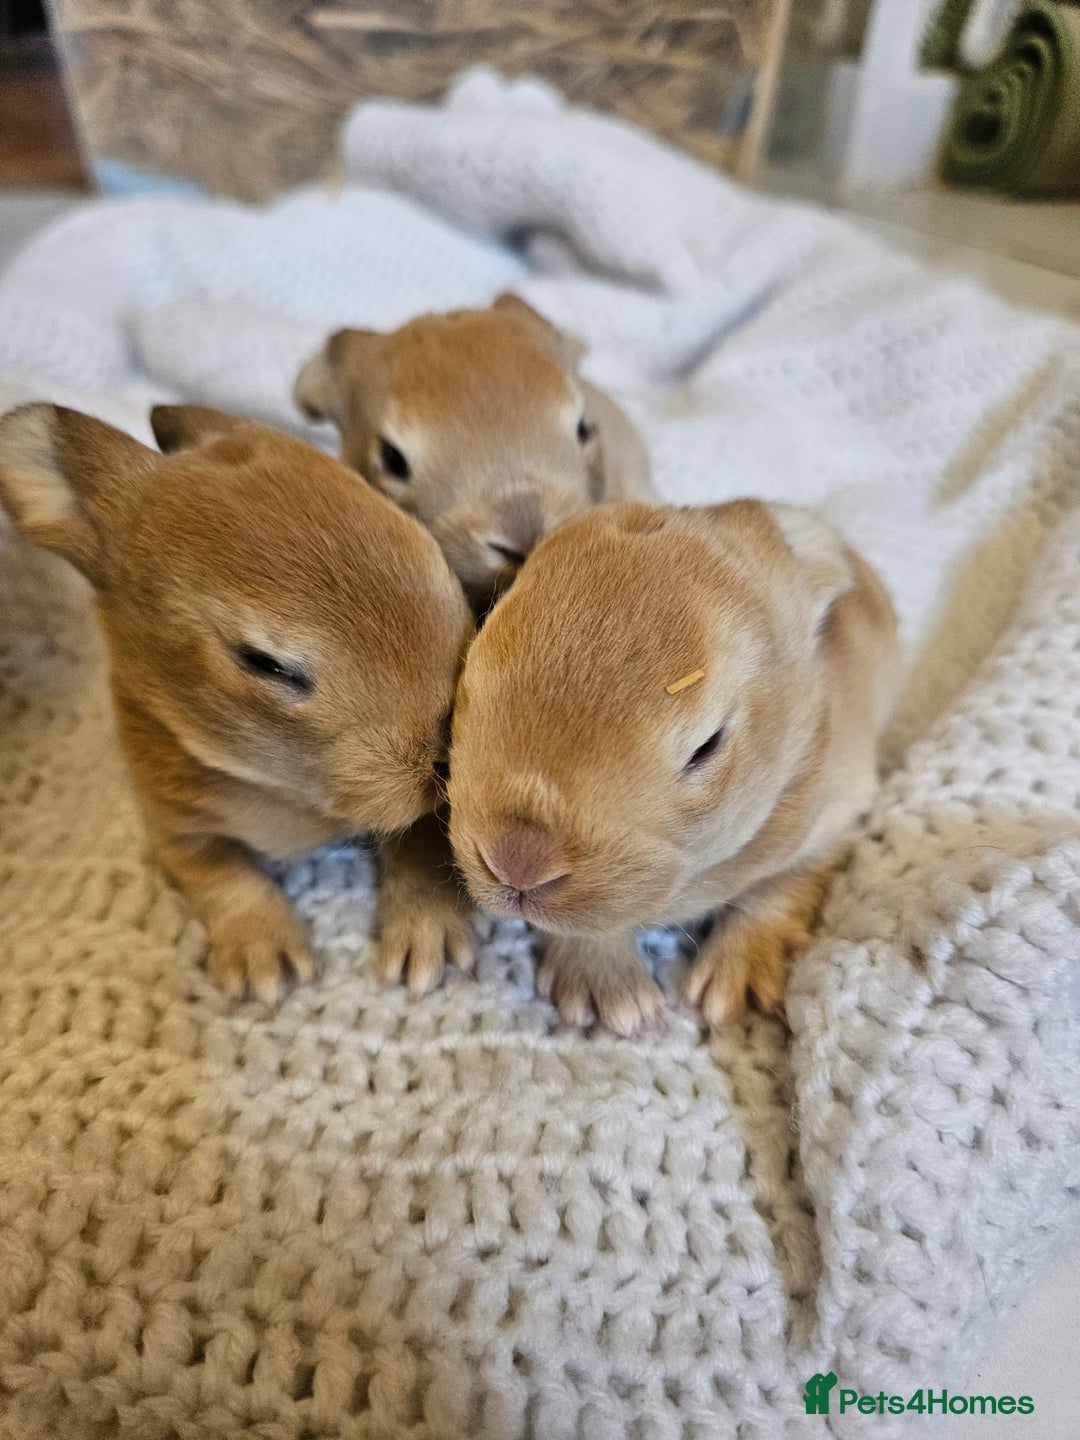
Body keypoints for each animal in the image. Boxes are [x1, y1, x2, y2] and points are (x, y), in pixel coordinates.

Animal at [0, 402, 479, 1002]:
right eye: (267, 665)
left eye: (429, 549)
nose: (444, 757)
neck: (288, 788)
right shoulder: (176, 825)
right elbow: (221, 876)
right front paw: (261, 954)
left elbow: (420, 848)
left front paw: (426, 931)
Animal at [446, 499, 901, 1035]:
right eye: (470, 675)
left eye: (707, 746)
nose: (517, 860)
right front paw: (611, 993)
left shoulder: (835, 815)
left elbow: (780, 887)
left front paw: (735, 986)